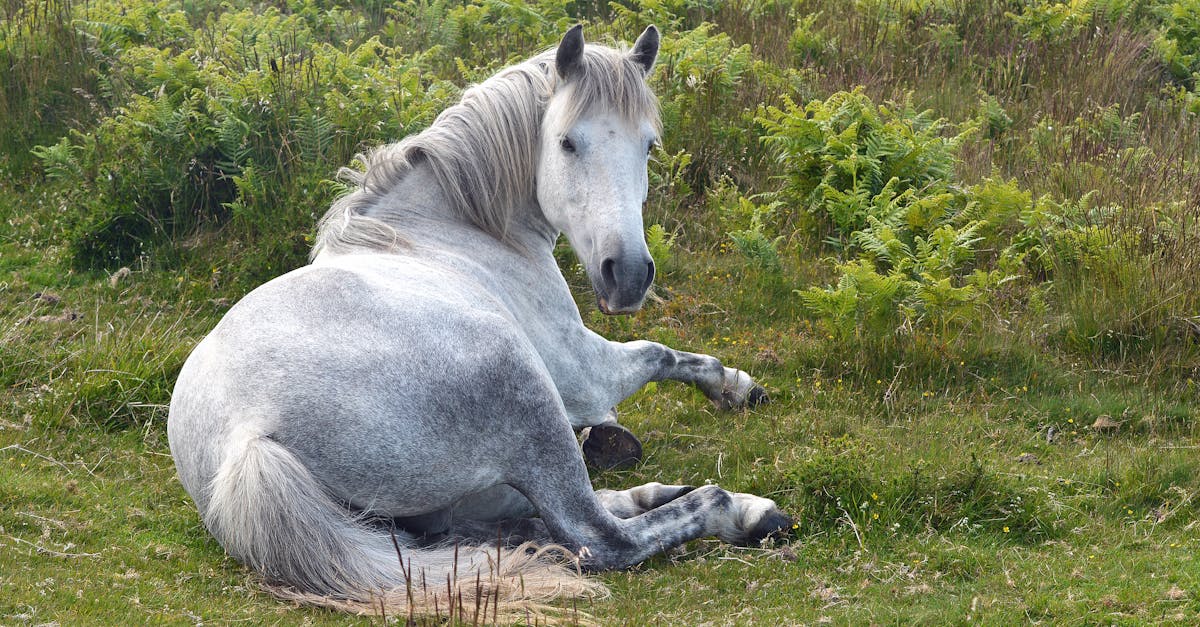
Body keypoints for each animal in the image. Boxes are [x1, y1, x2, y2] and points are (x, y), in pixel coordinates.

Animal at [167, 25, 791, 617]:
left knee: (520, 526)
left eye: (648, 145)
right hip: (523, 389)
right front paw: (733, 387)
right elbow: (660, 353)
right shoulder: (584, 374)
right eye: (567, 142)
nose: (629, 275)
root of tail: (246, 439)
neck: (450, 227)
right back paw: (740, 510)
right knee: (595, 535)